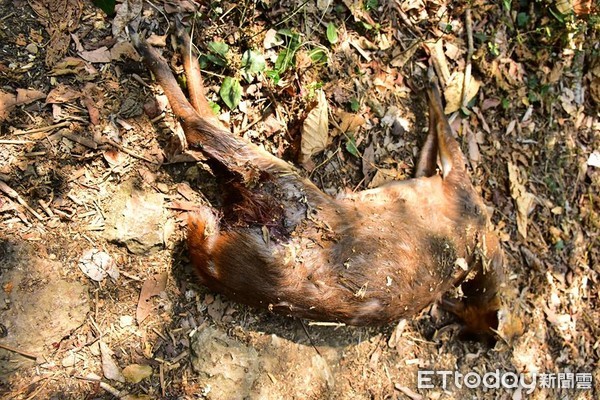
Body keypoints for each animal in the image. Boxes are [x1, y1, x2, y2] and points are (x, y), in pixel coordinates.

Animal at [131, 21, 506, 334]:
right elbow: (435, 137)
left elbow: (445, 134)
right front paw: (431, 77)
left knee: (198, 125)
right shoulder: (442, 179)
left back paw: (158, 47)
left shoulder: (454, 182)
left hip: (277, 179)